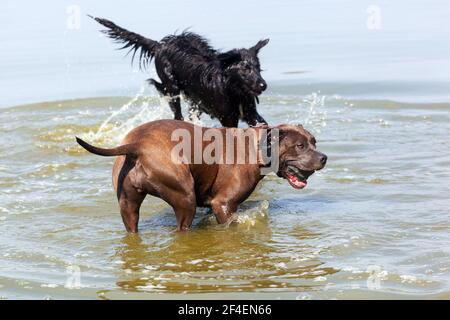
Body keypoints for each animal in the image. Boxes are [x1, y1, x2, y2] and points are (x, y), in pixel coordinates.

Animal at [75, 120, 326, 232]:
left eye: (314, 142)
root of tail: (137, 144)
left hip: (128, 205)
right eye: (300, 146)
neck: (255, 146)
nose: (324, 157)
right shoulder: (224, 205)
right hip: (184, 199)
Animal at [89, 15, 268, 126]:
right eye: (245, 69)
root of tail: (160, 46)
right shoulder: (228, 119)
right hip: (172, 88)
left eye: (258, 68)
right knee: (177, 114)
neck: (233, 89)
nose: (263, 85)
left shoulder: (252, 115)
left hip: (194, 101)